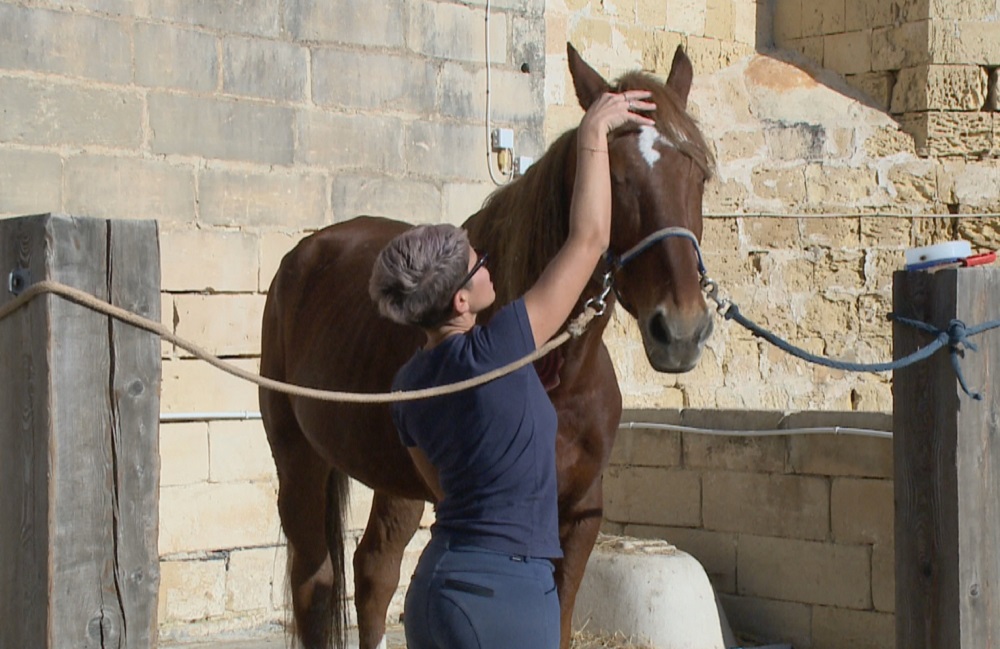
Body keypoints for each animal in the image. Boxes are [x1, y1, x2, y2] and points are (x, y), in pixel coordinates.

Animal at [259, 43, 715, 649]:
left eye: (699, 173)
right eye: (615, 176)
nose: (681, 330)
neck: (556, 373)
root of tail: (304, 254)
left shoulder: (579, 518)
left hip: (392, 479)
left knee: (374, 570)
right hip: (299, 460)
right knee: (316, 579)